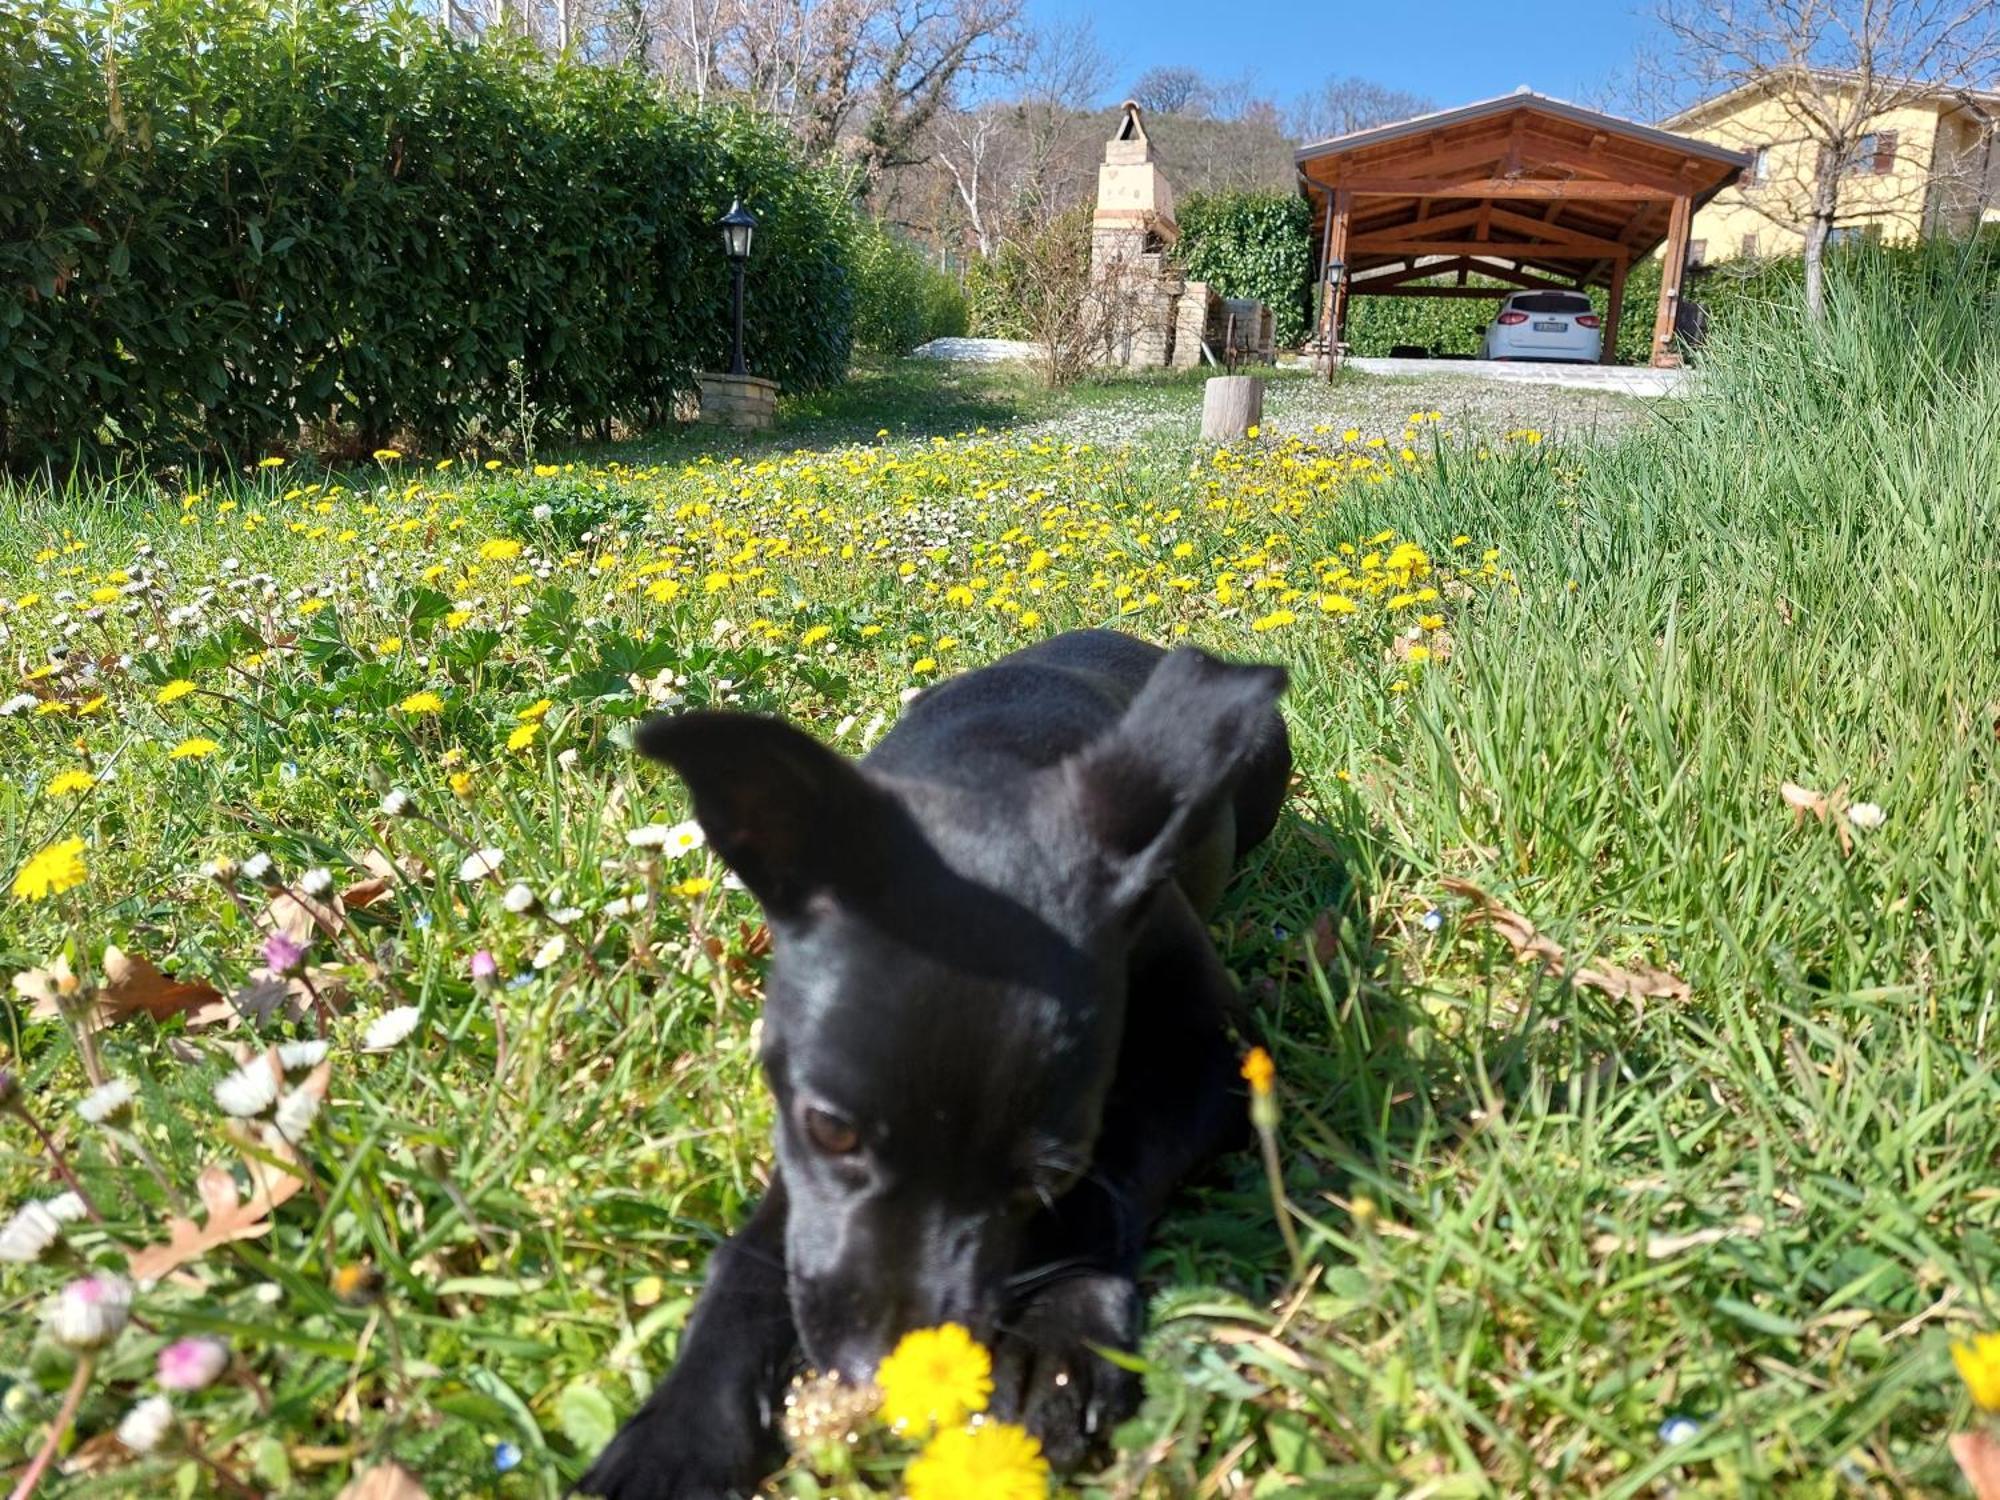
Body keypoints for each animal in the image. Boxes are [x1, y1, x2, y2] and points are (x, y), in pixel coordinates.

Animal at [584, 628, 1288, 1496]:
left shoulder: (1218, 1061)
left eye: (1049, 1176)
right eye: (831, 1131)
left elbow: (1113, 1177)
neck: (986, 771)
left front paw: (1059, 1337)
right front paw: (679, 1431)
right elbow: (753, 1252)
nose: (884, 1380)